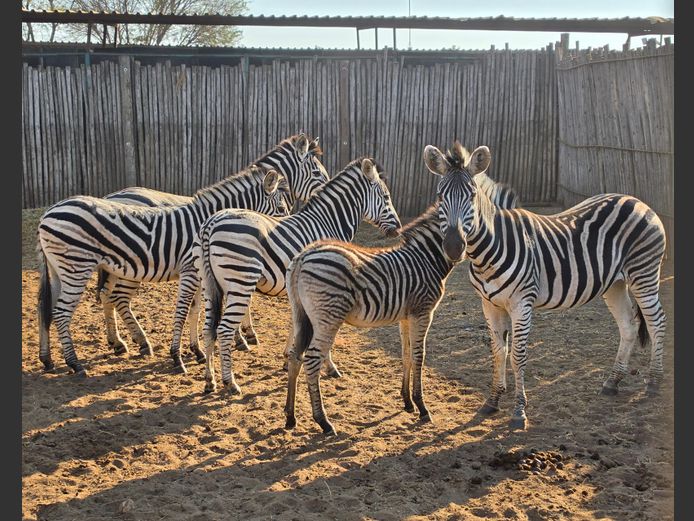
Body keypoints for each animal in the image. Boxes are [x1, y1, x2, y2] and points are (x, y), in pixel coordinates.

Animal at [37, 165, 289, 377]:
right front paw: (177, 358)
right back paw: (75, 363)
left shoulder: (200, 275)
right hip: (76, 266)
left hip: (58, 269)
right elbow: (182, 311)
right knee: (62, 312)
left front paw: (197, 350)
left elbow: (196, 311)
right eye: (281, 209)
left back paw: (48, 360)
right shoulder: (190, 271)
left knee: (45, 308)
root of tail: (48, 212)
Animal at [95, 134, 329, 363]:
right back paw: (140, 341)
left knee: (107, 295)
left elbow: (200, 308)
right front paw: (241, 337)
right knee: (119, 298)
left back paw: (117, 342)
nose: (283, 230)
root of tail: (109, 197)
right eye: (317, 172)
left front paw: (217, 343)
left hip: (114, 267)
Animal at [195, 157, 402, 395]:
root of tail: (212, 222)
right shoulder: (326, 287)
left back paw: (209, 380)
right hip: (241, 281)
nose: (399, 229)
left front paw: (288, 358)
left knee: (208, 329)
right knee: (224, 330)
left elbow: (295, 323)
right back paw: (230, 382)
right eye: (386, 197)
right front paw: (330, 366)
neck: (328, 222)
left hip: (210, 285)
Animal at [282, 145, 505, 435]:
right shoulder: (423, 312)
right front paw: (422, 407)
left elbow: (406, 355)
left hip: (302, 315)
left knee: (295, 357)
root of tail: (302, 257)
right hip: (327, 318)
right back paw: (324, 422)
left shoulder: (405, 316)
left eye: (472, 198)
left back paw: (290, 416)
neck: (426, 257)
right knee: (311, 360)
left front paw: (407, 401)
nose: (455, 249)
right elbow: (419, 356)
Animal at [423, 141, 667, 429]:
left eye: (471, 196)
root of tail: (634, 199)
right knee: (629, 325)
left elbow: (517, 355)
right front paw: (492, 402)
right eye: (440, 197)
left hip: (644, 274)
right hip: (614, 284)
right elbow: (498, 352)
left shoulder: (522, 303)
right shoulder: (489, 304)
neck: (489, 249)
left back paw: (654, 382)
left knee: (656, 321)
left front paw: (519, 412)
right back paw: (612, 382)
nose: (453, 246)